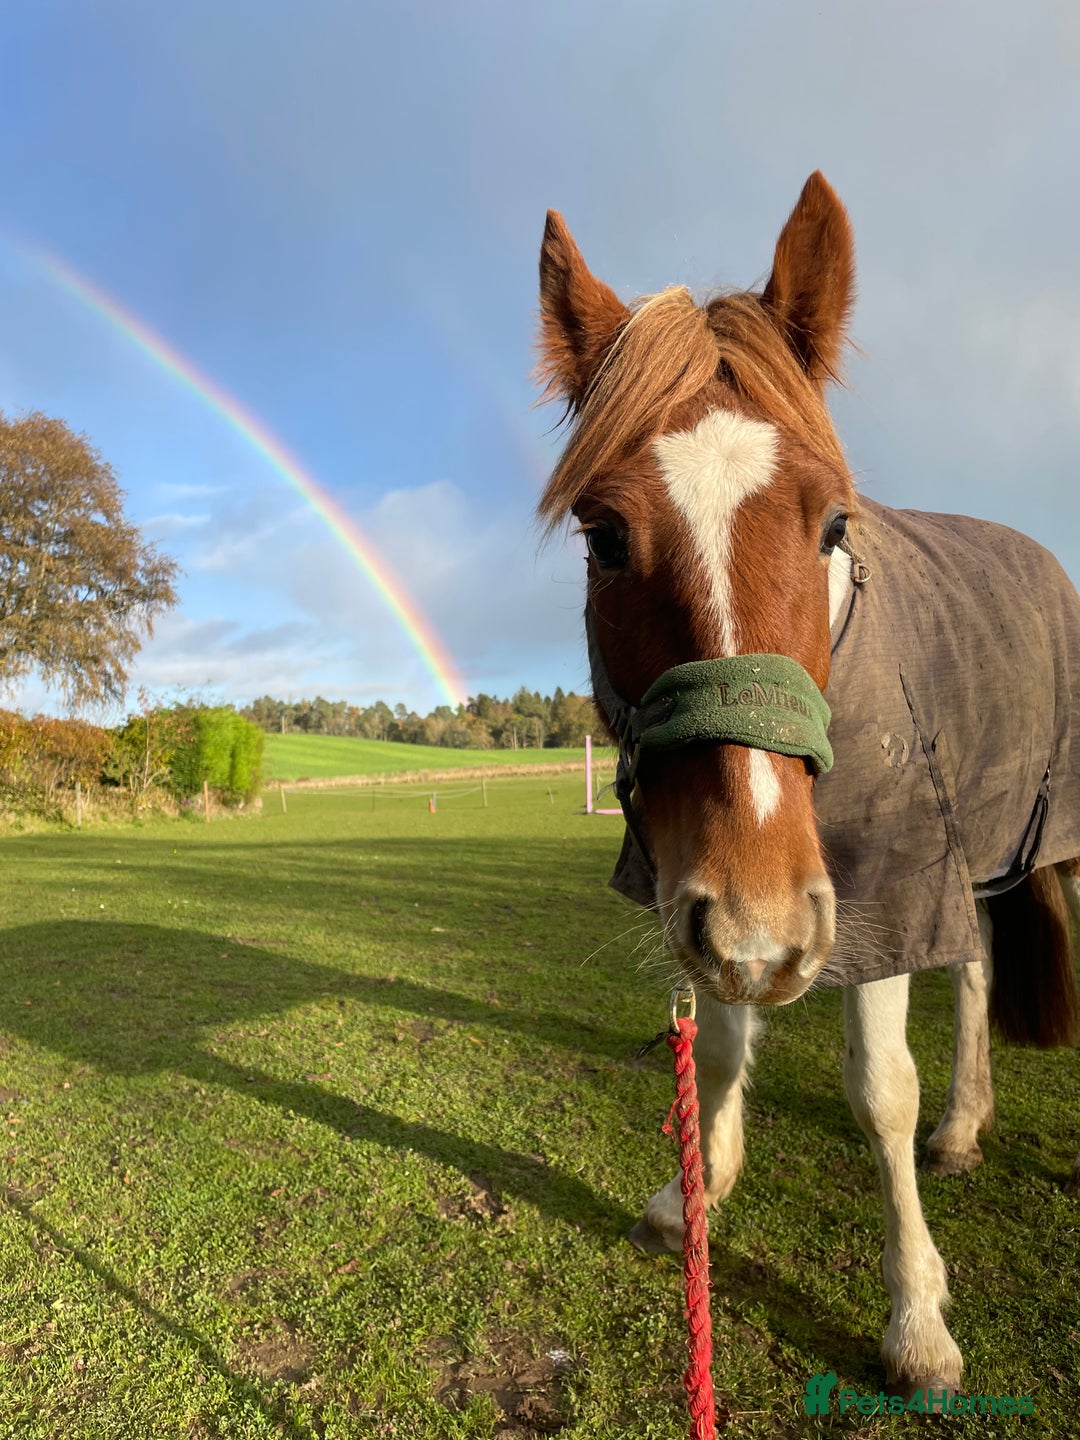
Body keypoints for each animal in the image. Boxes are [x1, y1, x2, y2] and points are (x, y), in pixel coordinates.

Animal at [534, 172, 1080, 1398]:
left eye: (833, 524)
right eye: (602, 536)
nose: (758, 922)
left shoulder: (876, 892)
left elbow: (880, 1090)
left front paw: (916, 1319)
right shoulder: (731, 905)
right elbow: (723, 1043)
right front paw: (693, 1194)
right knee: (977, 974)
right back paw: (966, 1128)